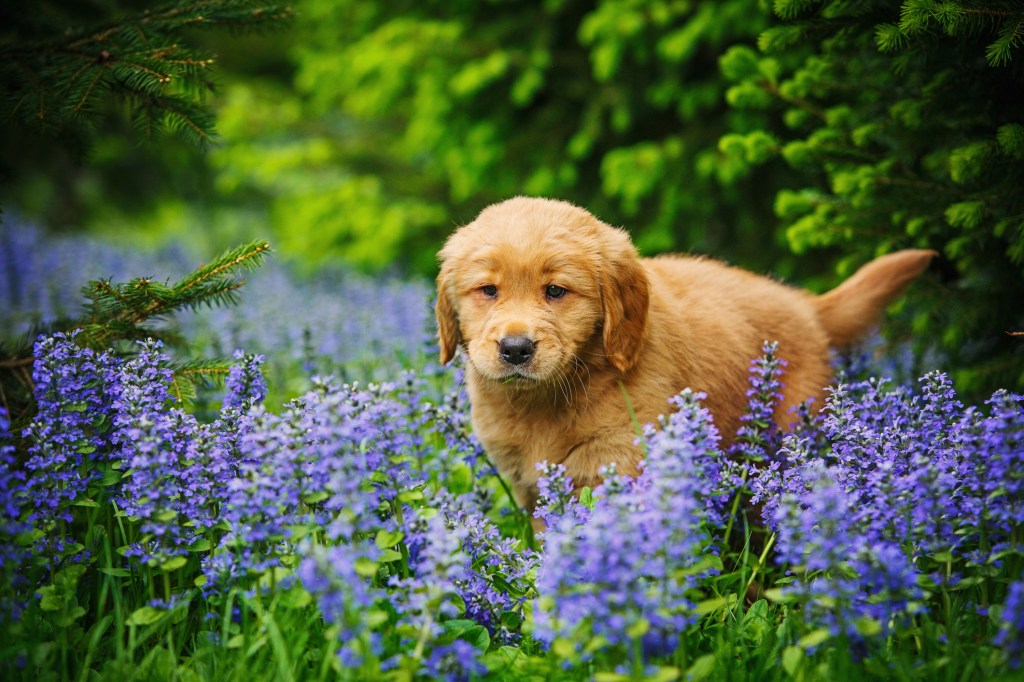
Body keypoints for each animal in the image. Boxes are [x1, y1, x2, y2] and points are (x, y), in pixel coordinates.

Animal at [436, 195, 933, 509]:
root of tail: (806, 305)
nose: (515, 348)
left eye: (556, 291)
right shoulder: (529, 486)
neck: (546, 398)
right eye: (488, 291)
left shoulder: (621, 461)